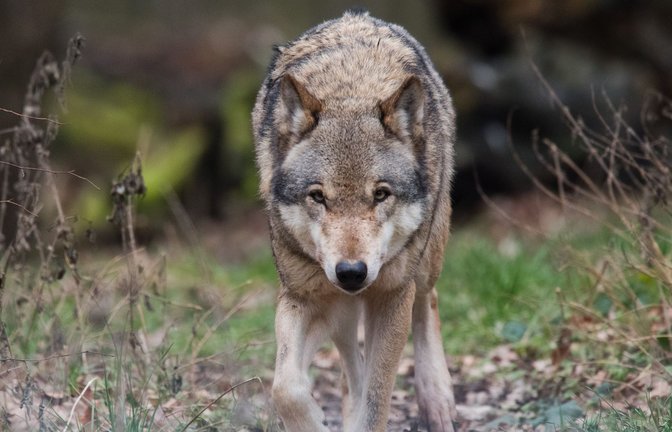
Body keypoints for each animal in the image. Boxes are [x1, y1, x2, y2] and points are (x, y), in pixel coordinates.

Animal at [252, 10, 457, 432]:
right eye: (318, 196)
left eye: (380, 194)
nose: (351, 272)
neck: (351, 90)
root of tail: (358, 16)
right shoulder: (303, 295)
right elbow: (285, 388)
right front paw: (313, 419)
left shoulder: (392, 296)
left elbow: (377, 400)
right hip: (340, 309)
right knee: (351, 363)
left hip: (424, 261)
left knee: (428, 301)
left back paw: (437, 401)